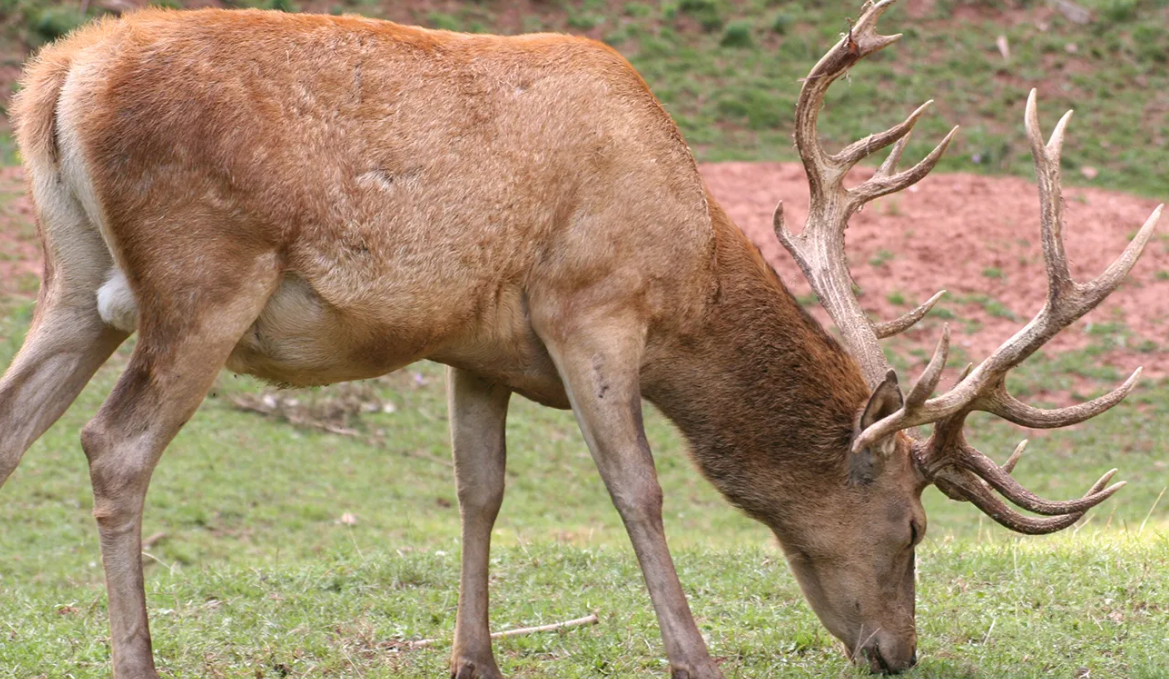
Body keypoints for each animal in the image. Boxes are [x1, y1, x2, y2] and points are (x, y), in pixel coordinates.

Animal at [0, 0, 1154, 673]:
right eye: (913, 529)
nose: (895, 652)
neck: (687, 273)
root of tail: (59, 75)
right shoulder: (590, 303)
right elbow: (637, 488)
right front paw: (692, 653)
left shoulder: (473, 348)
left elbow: (479, 491)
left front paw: (475, 657)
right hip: (205, 274)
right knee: (114, 447)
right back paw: (137, 659)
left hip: (72, 283)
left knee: (15, 429)